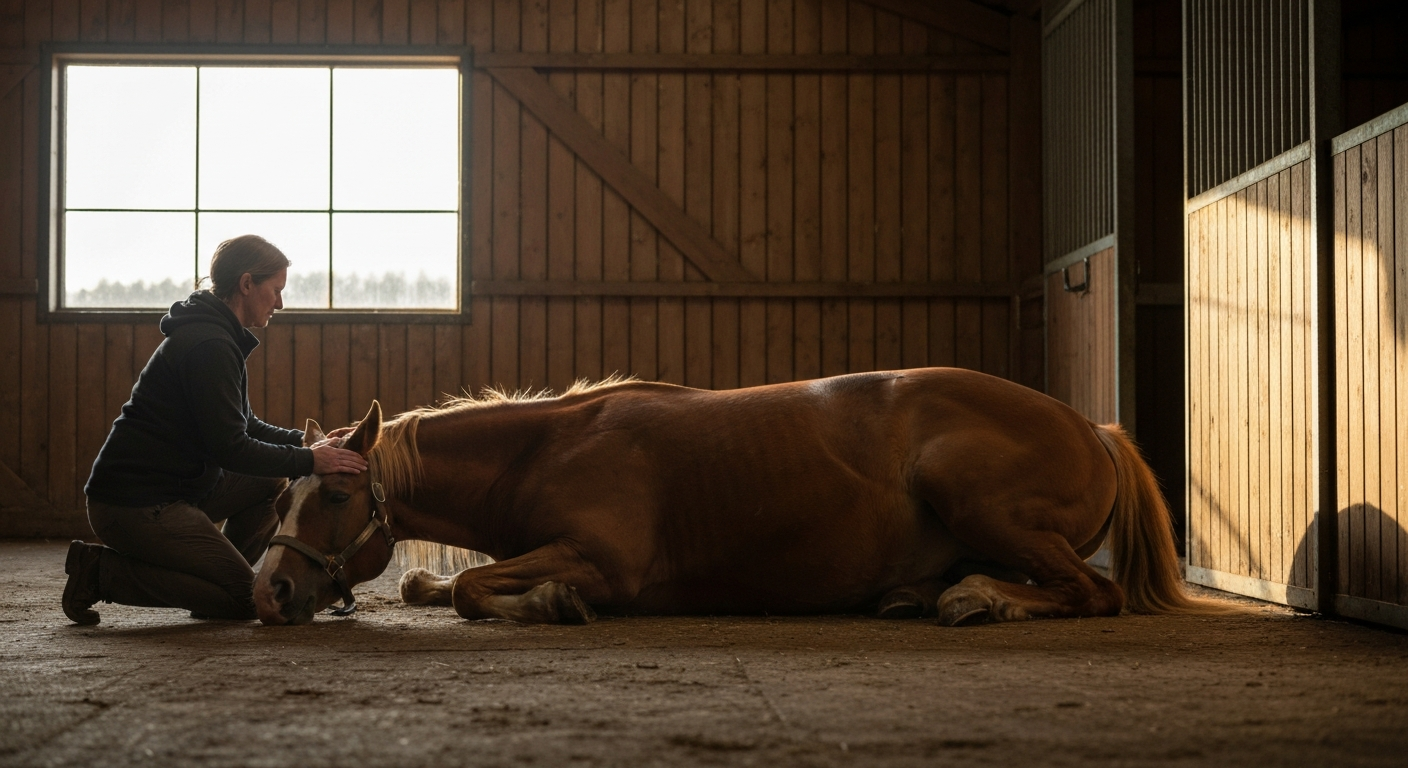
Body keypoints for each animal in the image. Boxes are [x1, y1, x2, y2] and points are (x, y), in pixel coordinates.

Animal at [253, 368, 1216, 627]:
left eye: (331, 497)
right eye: (277, 503)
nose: (269, 591)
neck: (547, 448)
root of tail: (1093, 428)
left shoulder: (605, 558)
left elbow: (473, 591)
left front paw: (552, 602)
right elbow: (442, 583)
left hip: (975, 496)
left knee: (1093, 592)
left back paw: (976, 599)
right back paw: (920, 593)